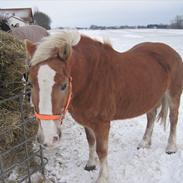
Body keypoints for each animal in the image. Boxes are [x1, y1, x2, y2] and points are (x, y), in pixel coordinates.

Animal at [24, 30, 183, 182]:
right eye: (30, 83)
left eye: (64, 85)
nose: (48, 138)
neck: (91, 78)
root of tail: (171, 51)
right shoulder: (86, 121)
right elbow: (90, 141)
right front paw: (90, 164)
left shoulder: (102, 124)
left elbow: (102, 150)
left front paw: (103, 177)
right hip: (151, 98)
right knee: (151, 117)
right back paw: (144, 142)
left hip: (174, 95)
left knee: (173, 119)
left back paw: (171, 147)